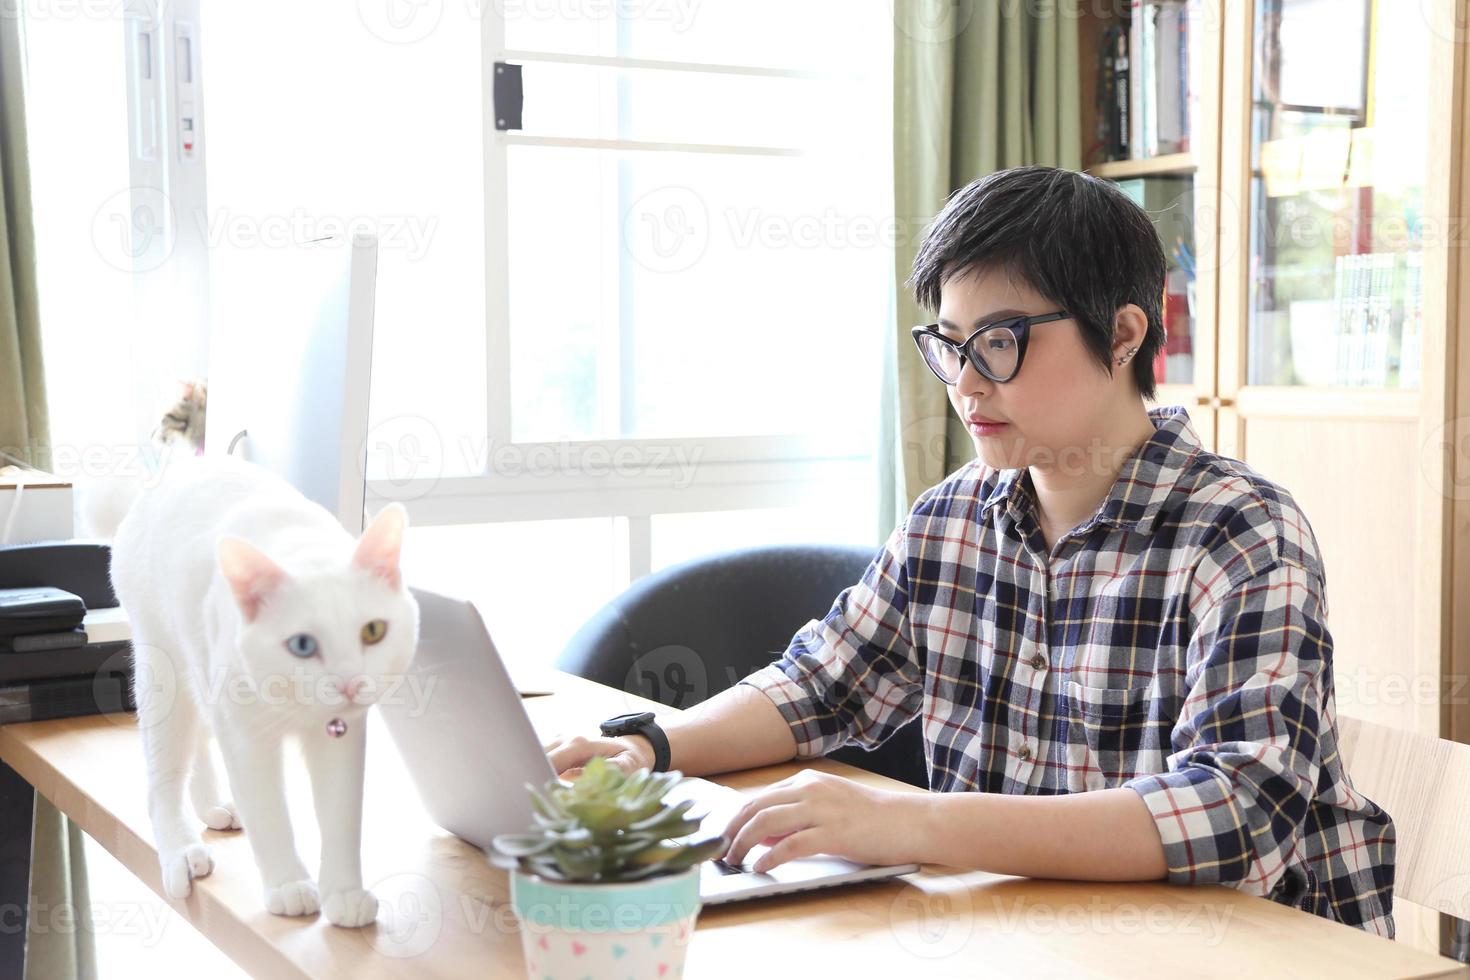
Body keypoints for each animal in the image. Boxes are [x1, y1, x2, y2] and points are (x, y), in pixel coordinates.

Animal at [105, 452, 417, 928]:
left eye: (373, 631)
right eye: (303, 645)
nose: (350, 681)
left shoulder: (343, 737)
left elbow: (341, 815)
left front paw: (344, 893)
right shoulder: (244, 737)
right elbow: (269, 813)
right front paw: (288, 885)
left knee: (198, 743)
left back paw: (212, 805)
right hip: (164, 674)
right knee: (164, 777)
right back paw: (181, 849)